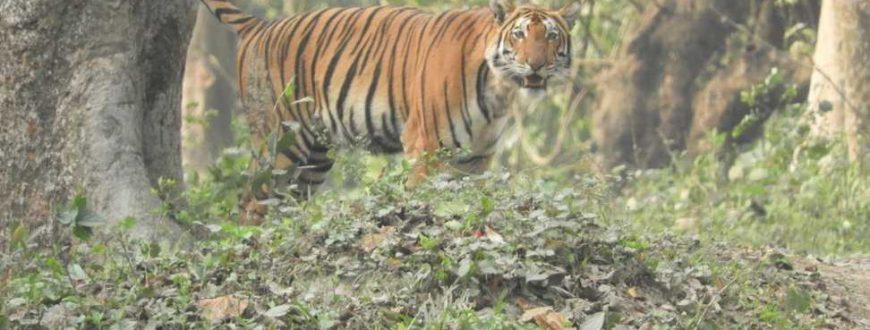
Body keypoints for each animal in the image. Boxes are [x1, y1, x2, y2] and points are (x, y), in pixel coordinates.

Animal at [201, 0, 584, 211]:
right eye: (519, 35)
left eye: (551, 36)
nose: (536, 65)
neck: (498, 89)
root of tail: (260, 25)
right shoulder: (426, 145)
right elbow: (425, 200)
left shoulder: (477, 158)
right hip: (281, 140)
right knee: (252, 199)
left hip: (314, 158)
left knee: (287, 202)